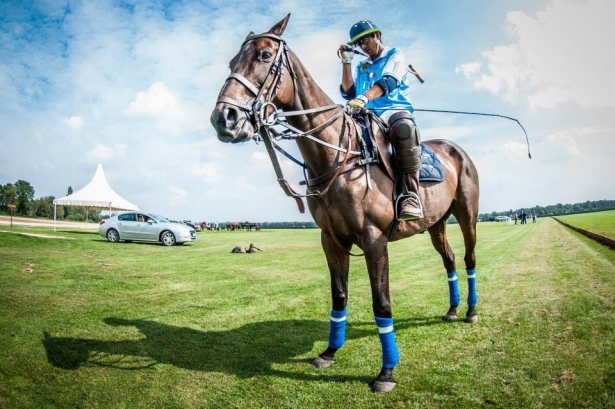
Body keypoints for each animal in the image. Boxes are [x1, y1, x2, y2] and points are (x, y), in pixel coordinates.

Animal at [212, 15, 482, 392]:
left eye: (264, 55)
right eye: (231, 63)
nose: (224, 118)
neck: (336, 157)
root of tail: (456, 148)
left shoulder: (374, 240)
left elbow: (382, 303)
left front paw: (386, 372)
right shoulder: (332, 239)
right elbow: (339, 295)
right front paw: (328, 352)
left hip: (467, 213)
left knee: (469, 256)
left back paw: (470, 311)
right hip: (436, 223)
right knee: (451, 259)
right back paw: (453, 309)